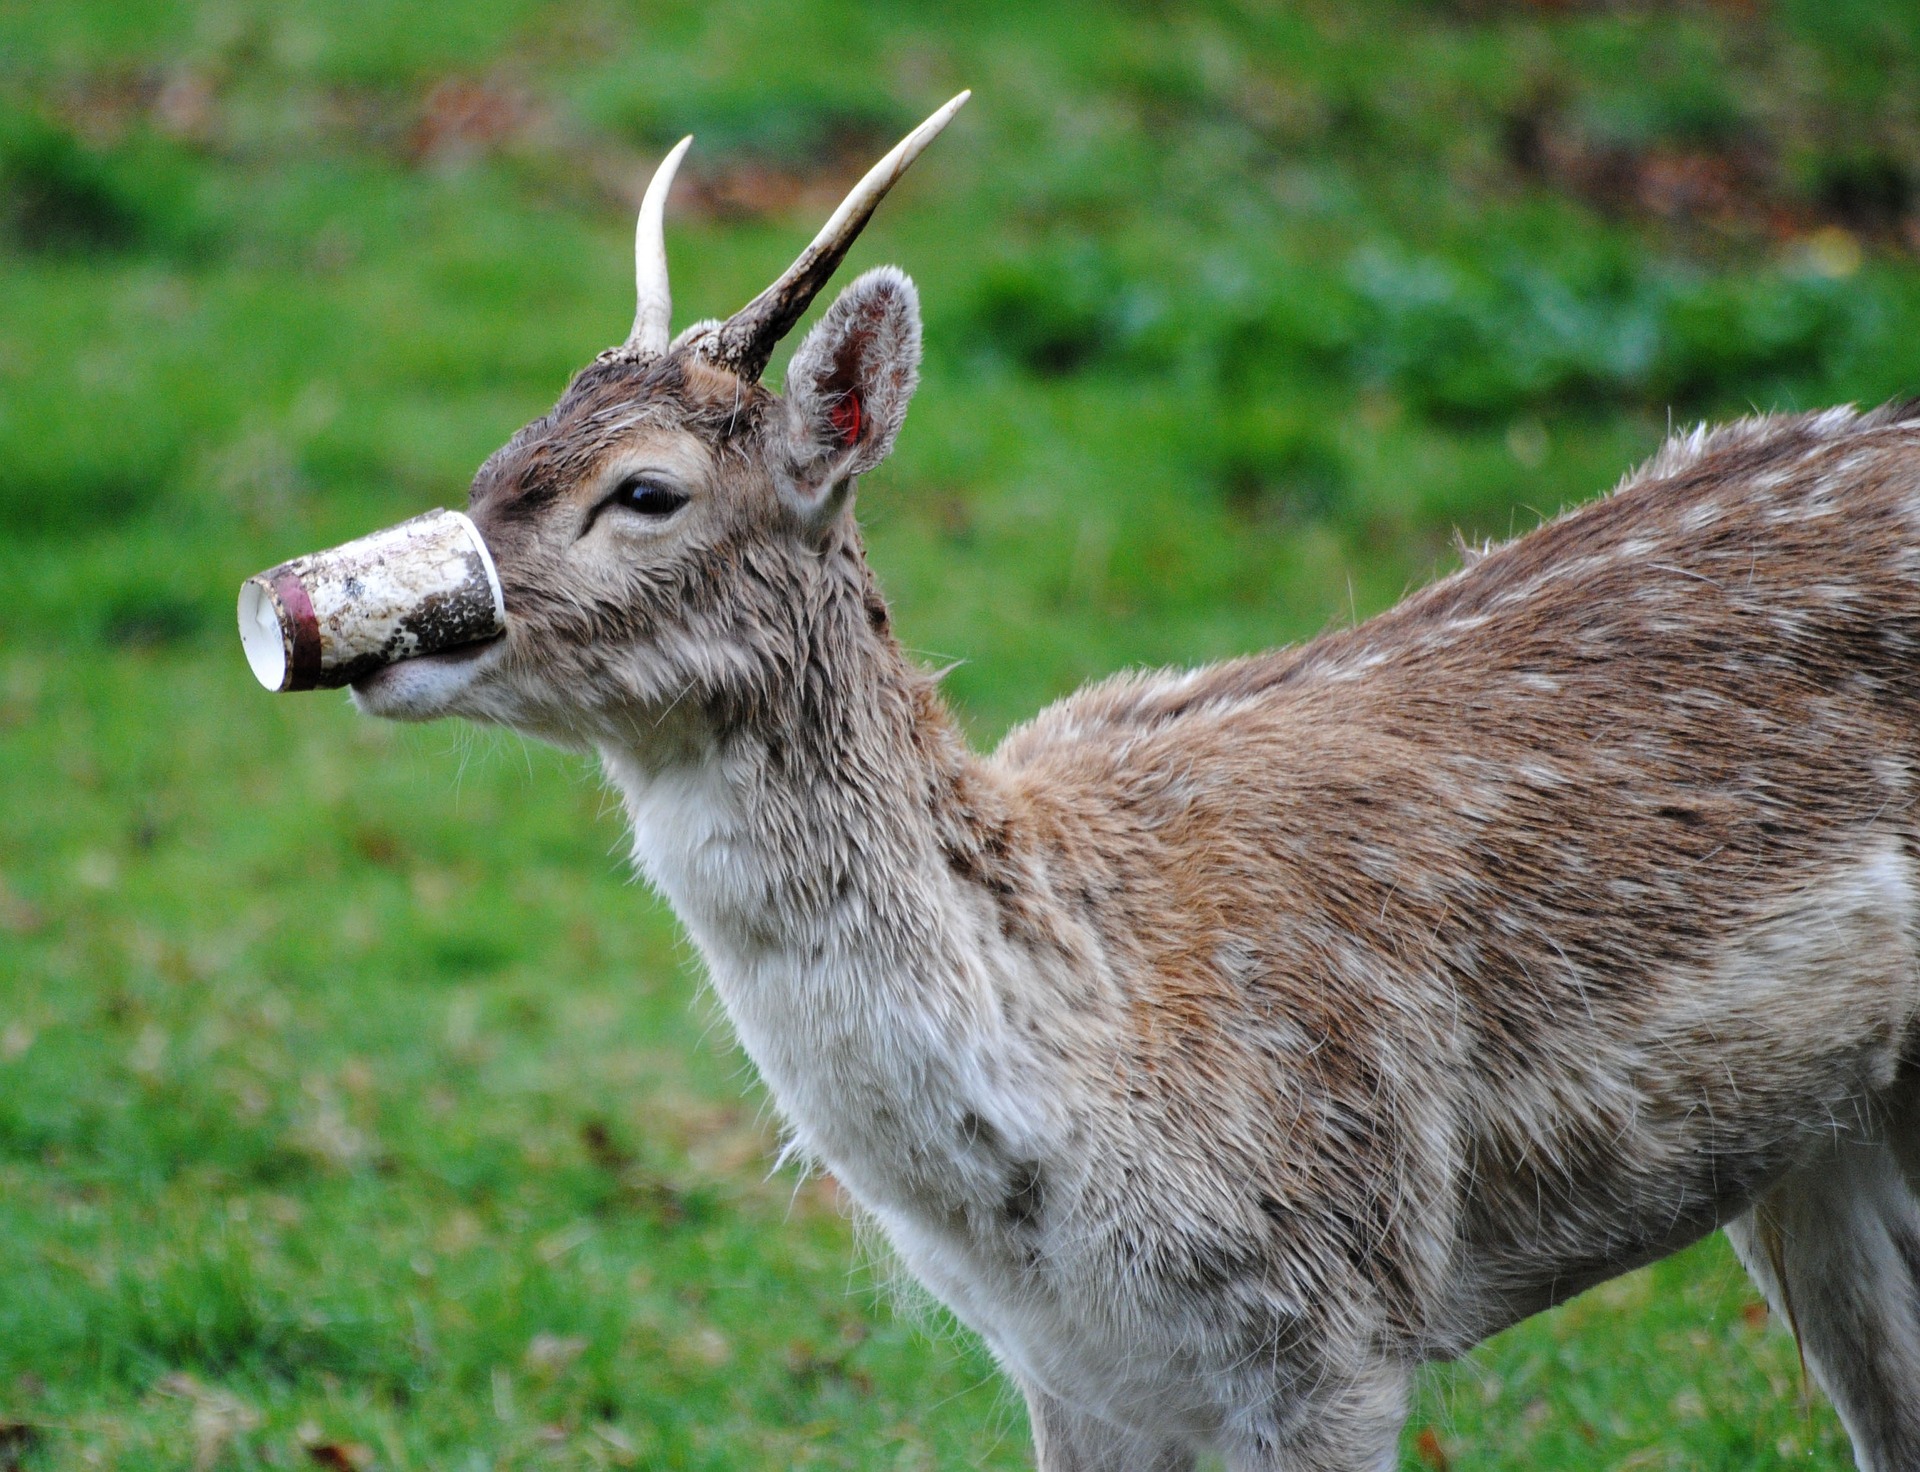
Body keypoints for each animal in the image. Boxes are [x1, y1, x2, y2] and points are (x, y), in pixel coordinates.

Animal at [337, 97, 1920, 1466]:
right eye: (508, 448)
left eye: (646, 490)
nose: (372, 620)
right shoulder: (1076, 1373)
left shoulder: (1344, 1321)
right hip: (1822, 1142)